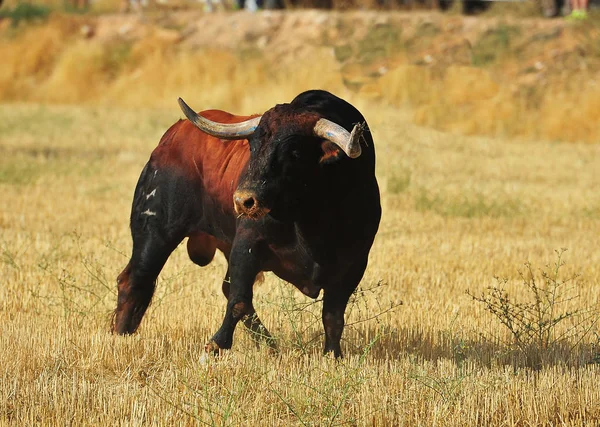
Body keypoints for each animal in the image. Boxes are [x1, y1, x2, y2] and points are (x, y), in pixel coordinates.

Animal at [113, 90, 380, 358]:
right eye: (253, 146)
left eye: (294, 153)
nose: (243, 201)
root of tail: (172, 136)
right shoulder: (246, 247)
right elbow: (238, 299)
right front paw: (215, 345)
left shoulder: (354, 264)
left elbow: (333, 316)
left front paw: (333, 354)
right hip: (154, 231)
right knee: (135, 278)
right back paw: (120, 334)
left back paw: (270, 344)